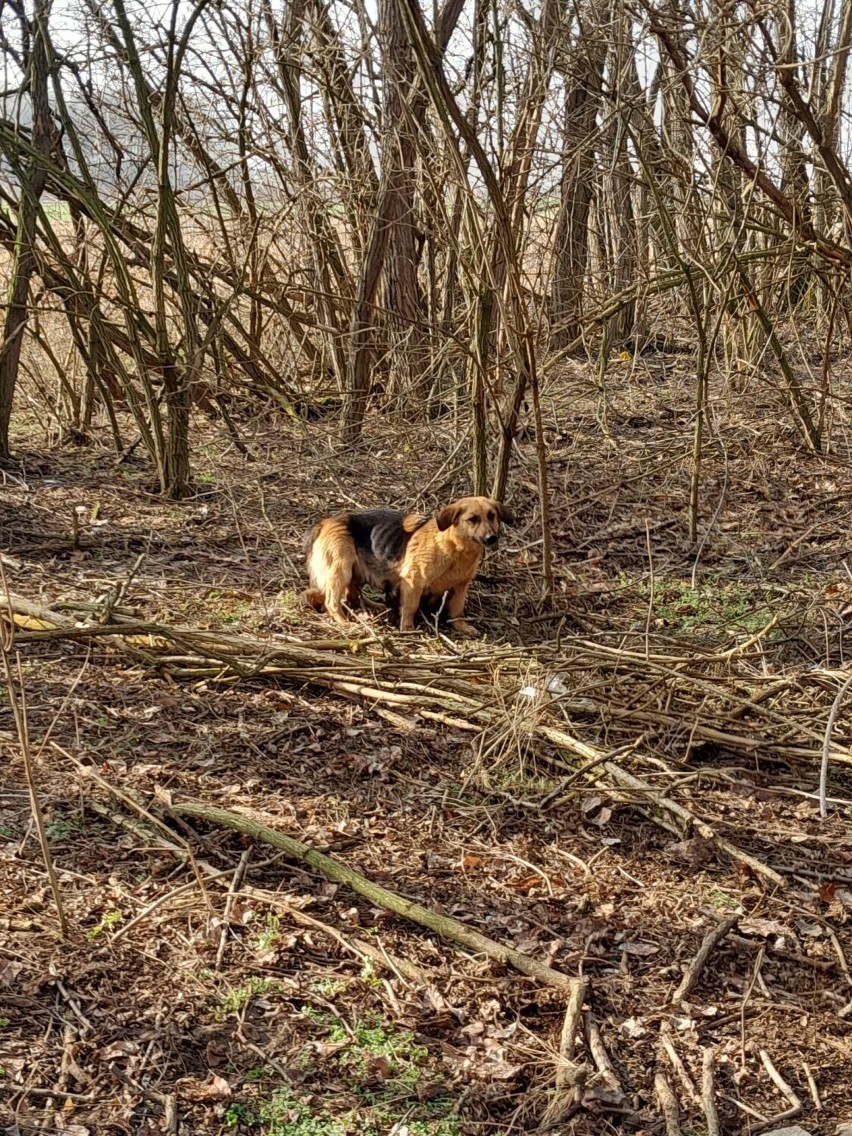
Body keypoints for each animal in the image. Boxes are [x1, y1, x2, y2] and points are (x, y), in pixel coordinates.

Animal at [304, 497, 511, 640]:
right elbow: (411, 607)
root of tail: (324, 522)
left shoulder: (461, 586)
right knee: (332, 601)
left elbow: (457, 610)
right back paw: (344, 622)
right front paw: (408, 629)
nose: (492, 538)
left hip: (355, 572)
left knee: (352, 597)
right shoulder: (413, 582)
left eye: (492, 516)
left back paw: (375, 607)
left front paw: (461, 627)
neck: (454, 548)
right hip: (341, 570)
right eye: (473, 519)